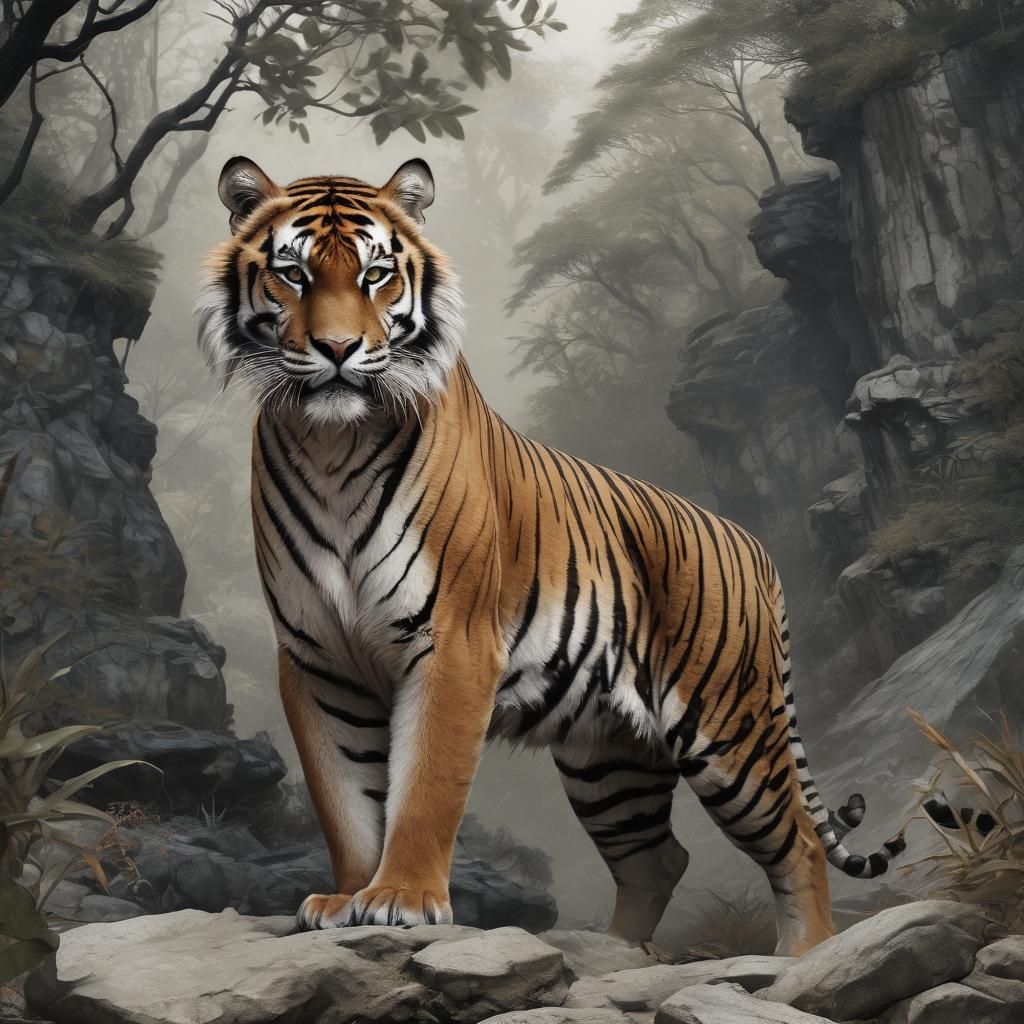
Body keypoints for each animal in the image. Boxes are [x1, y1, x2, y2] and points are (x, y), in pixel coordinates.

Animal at [196, 155, 905, 957]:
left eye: (376, 275)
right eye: (294, 275)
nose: (339, 350)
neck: (331, 443)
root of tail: (755, 544)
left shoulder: (452, 643)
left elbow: (425, 785)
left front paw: (402, 898)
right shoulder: (317, 660)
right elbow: (345, 798)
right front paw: (345, 898)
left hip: (729, 731)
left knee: (799, 843)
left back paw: (804, 956)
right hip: (609, 759)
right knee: (658, 858)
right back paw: (619, 951)